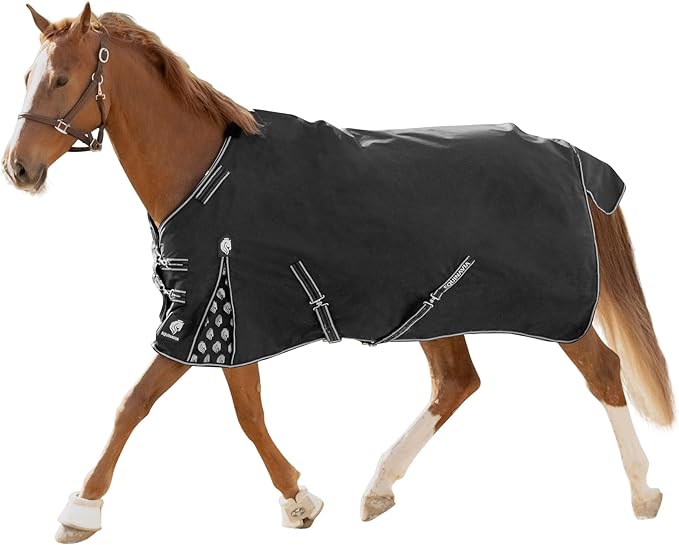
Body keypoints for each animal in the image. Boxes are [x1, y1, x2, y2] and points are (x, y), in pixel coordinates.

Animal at [2, 4, 673, 543]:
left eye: (61, 78)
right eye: (28, 76)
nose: (19, 169)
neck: (205, 171)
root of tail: (565, 152)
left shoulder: (203, 315)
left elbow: (135, 402)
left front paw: (80, 511)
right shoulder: (227, 320)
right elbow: (245, 412)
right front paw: (298, 500)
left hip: (557, 314)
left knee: (603, 371)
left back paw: (643, 492)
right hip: (432, 310)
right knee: (456, 383)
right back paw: (379, 487)